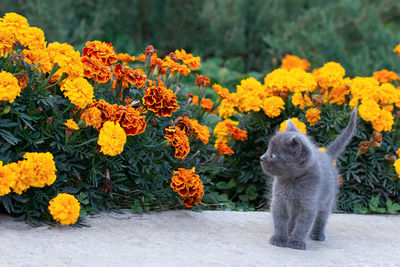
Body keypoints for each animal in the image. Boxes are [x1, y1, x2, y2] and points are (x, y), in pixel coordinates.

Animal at [260, 109, 358, 251]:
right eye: (268, 150)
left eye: (273, 155)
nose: (261, 158)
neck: (292, 181)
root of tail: (327, 155)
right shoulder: (279, 201)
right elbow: (280, 221)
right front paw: (279, 239)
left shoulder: (308, 205)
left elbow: (303, 225)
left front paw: (297, 242)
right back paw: (290, 230)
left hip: (327, 200)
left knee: (322, 217)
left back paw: (317, 234)